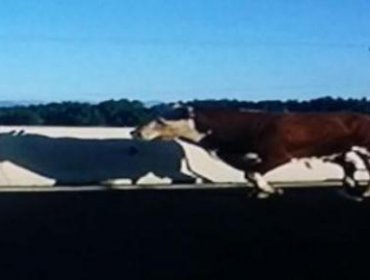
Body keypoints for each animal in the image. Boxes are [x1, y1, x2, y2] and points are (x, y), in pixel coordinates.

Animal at [132, 105, 370, 199]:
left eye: (161, 120)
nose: (135, 131)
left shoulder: (277, 155)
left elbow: (252, 173)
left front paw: (271, 189)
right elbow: (249, 174)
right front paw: (261, 191)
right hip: (342, 152)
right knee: (349, 169)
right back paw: (353, 187)